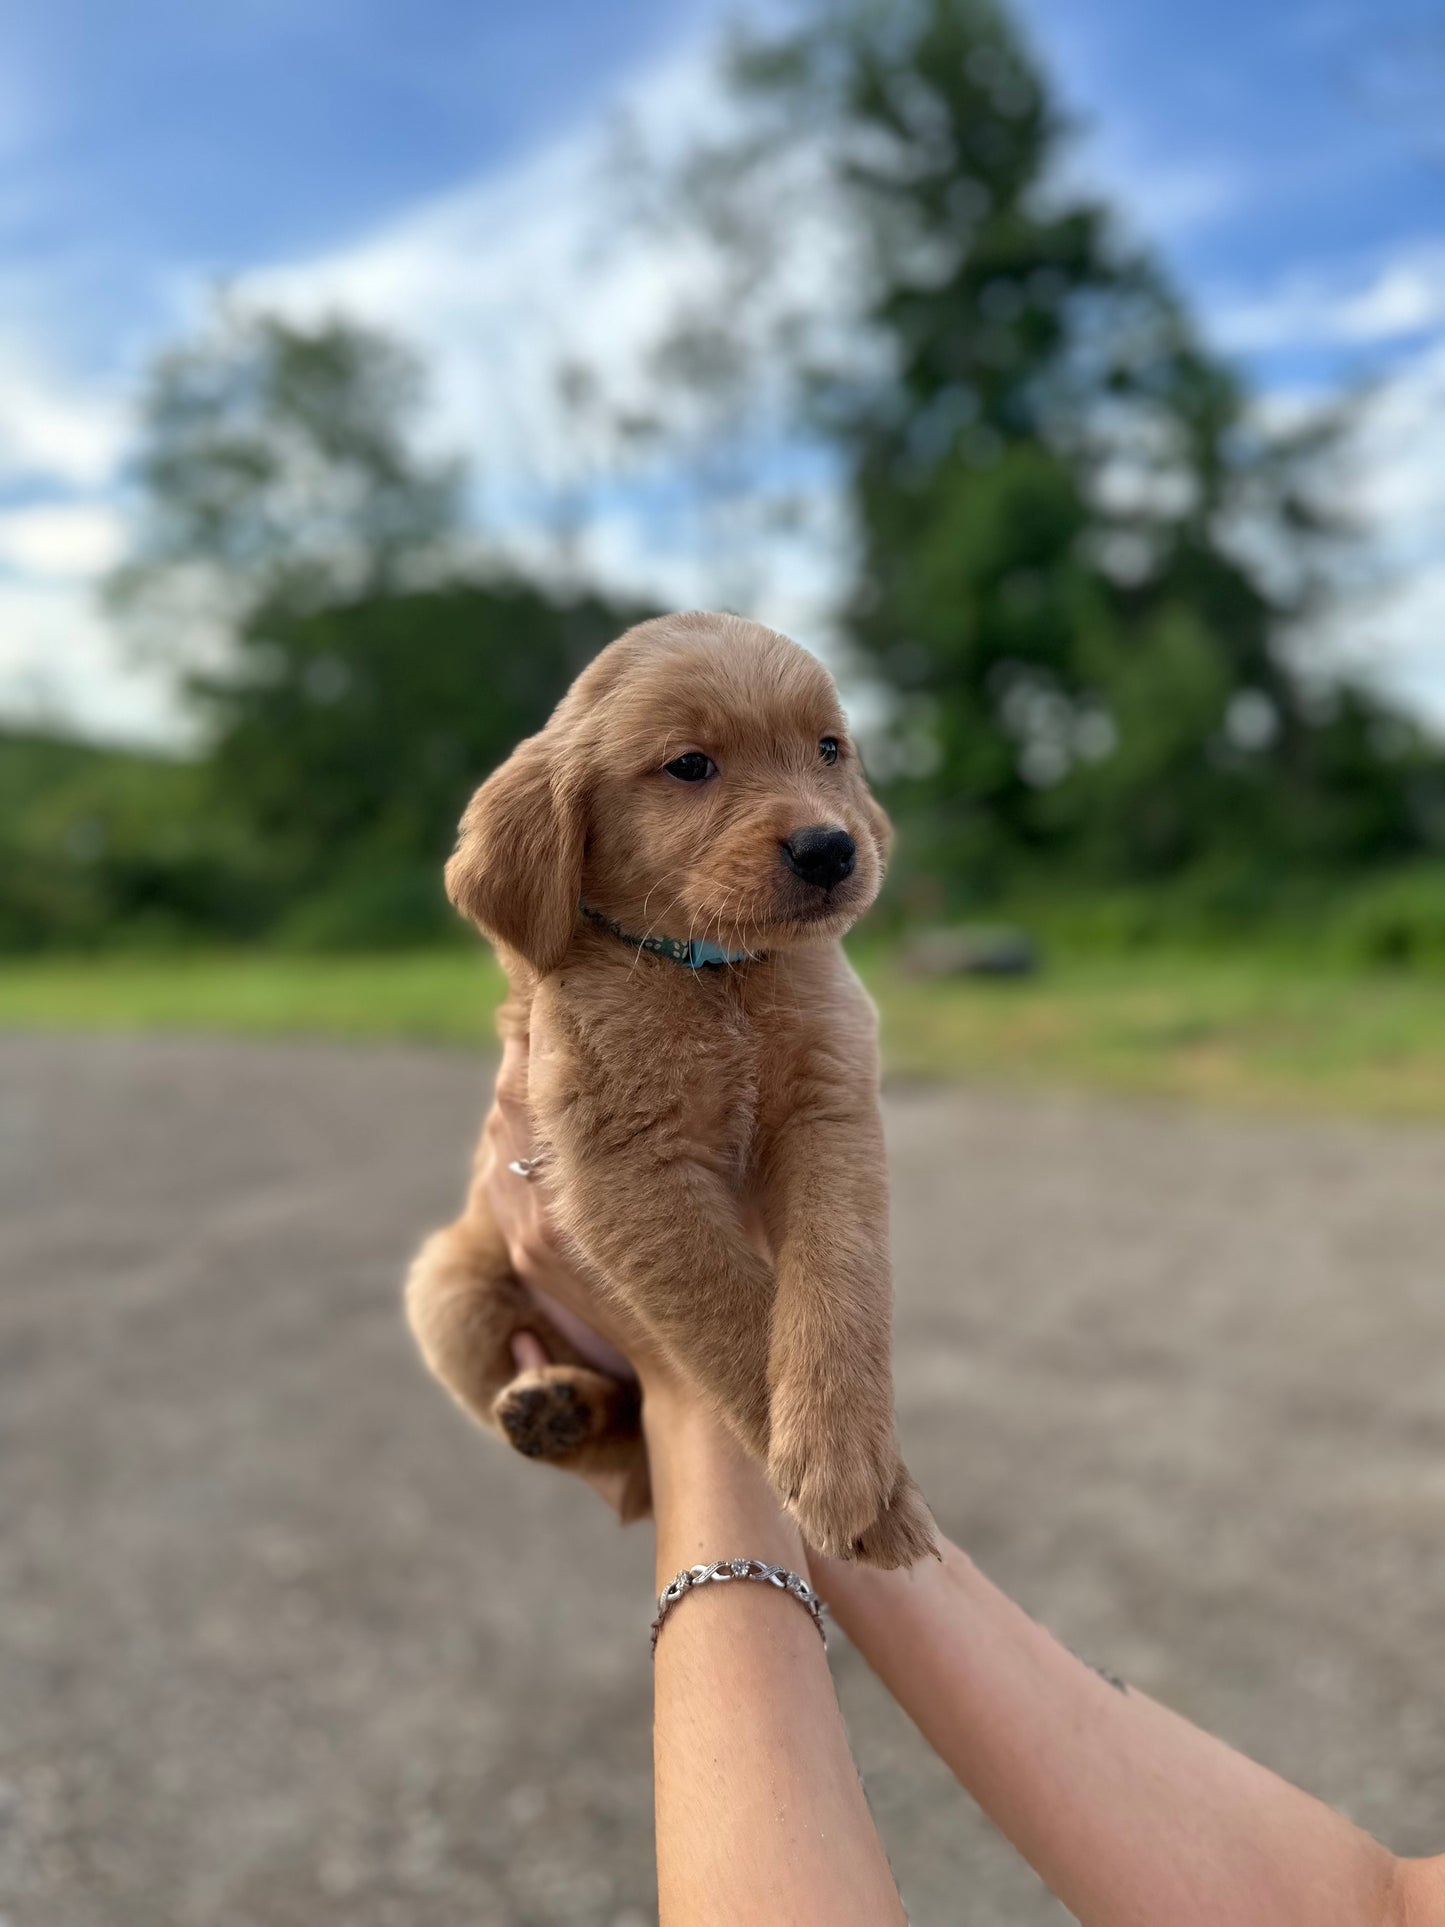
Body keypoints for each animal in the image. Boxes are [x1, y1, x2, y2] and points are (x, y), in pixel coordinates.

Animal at [404, 612, 940, 1564]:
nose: (831, 848)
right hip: (445, 1290)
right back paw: (555, 1407)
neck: (715, 973)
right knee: (629, 1473)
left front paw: (846, 1459)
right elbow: (731, 1312)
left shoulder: (832, 1111)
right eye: (690, 764)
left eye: (829, 748)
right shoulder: (621, 1166)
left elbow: (835, 1278)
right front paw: (862, 1493)